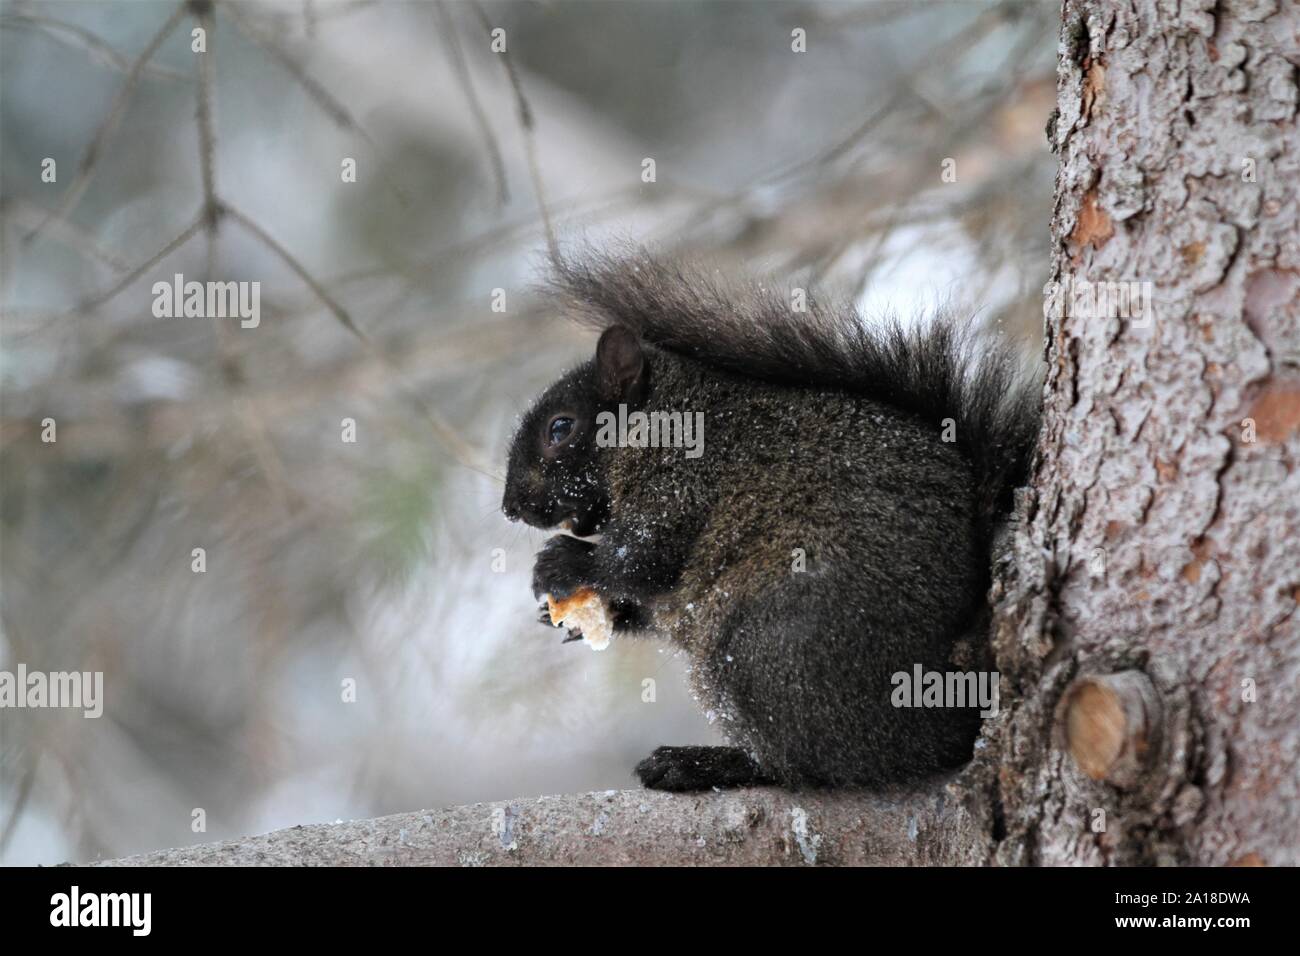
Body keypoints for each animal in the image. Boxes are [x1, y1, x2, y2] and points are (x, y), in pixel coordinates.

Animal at [501, 252, 1040, 790]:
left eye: (560, 428)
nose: (510, 506)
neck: (660, 416)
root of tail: (951, 698)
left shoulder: (683, 477)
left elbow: (644, 557)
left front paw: (561, 562)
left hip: (765, 647)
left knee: (806, 765)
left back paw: (699, 763)